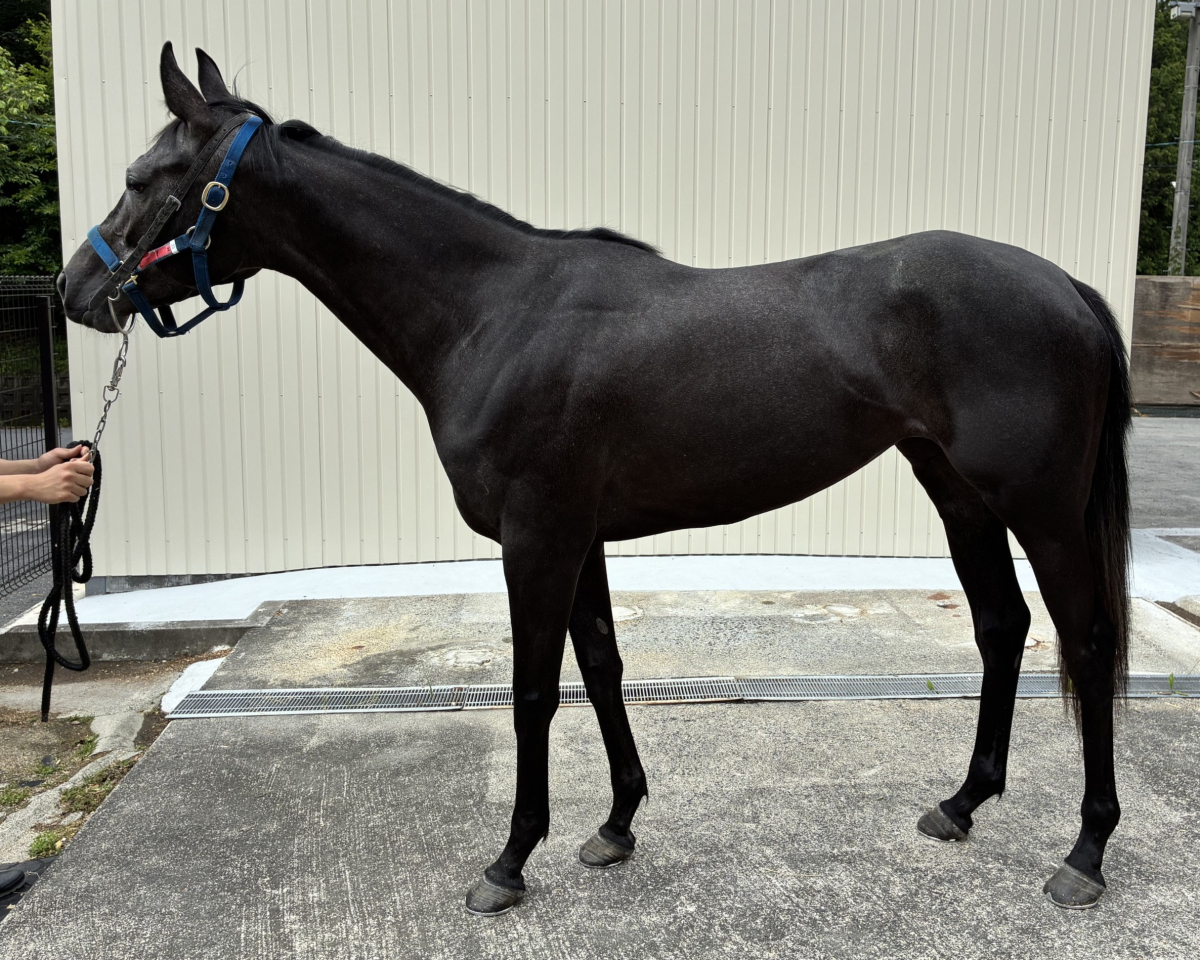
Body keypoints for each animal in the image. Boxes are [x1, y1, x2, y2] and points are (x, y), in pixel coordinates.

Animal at [59, 44, 1131, 915]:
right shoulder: (582, 537)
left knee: (1083, 641)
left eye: (146, 177)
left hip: (1040, 508)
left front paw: (508, 863)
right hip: (959, 494)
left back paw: (1085, 852)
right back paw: (962, 803)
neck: (492, 313)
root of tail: (1067, 287)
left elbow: (536, 689)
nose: (78, 288)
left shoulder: (537, 539)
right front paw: (614, 827)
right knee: (1002, 626)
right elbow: (604, 667)